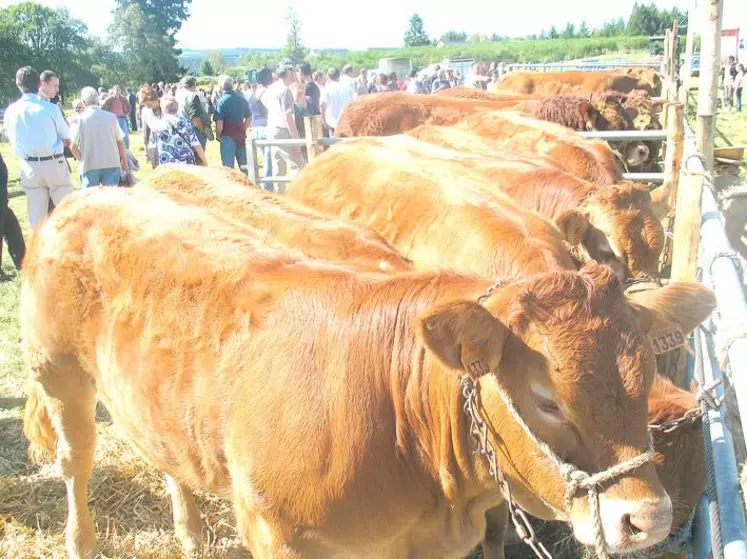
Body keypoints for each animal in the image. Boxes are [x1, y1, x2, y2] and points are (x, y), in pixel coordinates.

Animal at [23, 187, 712, 556]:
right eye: (546, 399)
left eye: (642, 381)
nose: (646, 517)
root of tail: (88, 194)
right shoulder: (275, 534)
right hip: (59, 376)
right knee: (75, 461)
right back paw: (82, 541)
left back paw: (189, 532)